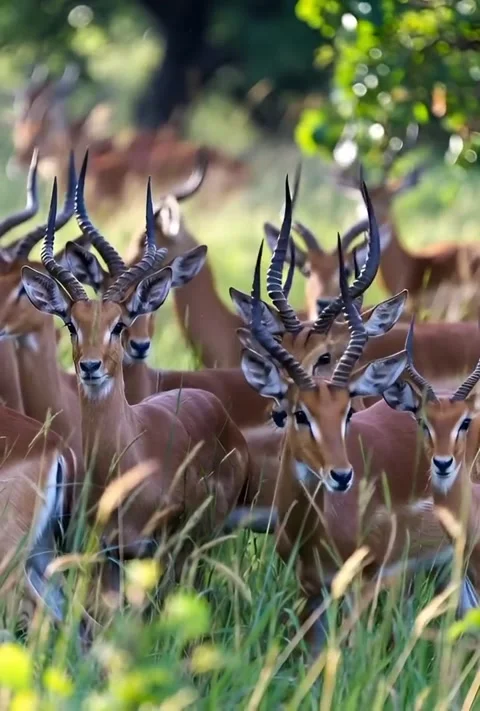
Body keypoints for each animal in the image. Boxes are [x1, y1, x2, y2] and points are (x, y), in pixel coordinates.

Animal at [20, 178, 259, 607]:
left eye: (118, 324)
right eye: (71, 324)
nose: (91, 366)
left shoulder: (157, 550)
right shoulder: (107, 555)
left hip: (201, 543)